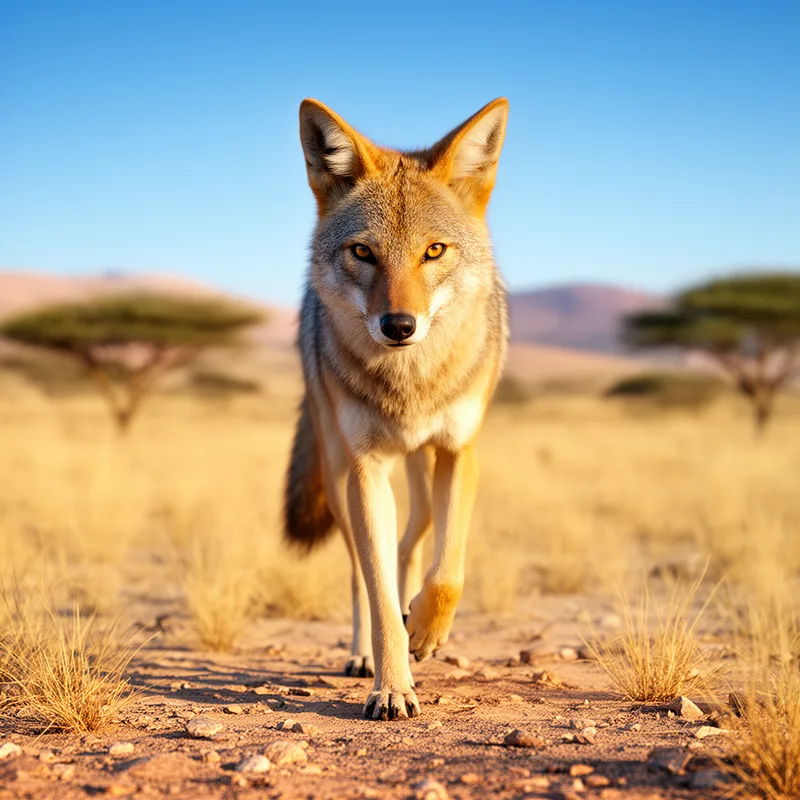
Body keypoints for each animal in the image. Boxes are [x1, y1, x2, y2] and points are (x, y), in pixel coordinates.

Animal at [284, 97, 509, 720]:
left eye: (433, 251)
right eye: (363, 252)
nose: (399, 326)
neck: (412, 385)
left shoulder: (460, 453)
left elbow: (447, 573)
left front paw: (428, 629)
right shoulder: (364, 469)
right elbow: (379, 593)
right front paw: (390, 687)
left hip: (420, 470)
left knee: (412, 543)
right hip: (340, 474)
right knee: (364, 570)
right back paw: (364, 655)